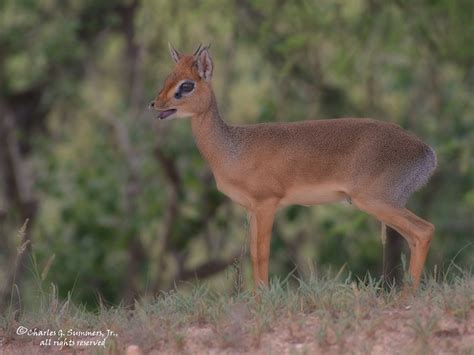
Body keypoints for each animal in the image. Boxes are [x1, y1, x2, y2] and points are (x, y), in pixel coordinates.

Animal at [152, 43, 436, 290]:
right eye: (168, 77)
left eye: (187, 85)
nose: (155, 104)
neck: (232, 148)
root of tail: (426, 152)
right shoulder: (251, 209)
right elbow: (253, 254)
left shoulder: (267, 203)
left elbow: (262, 254)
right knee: (414, 237)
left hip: (375, 201)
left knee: (424, 231)